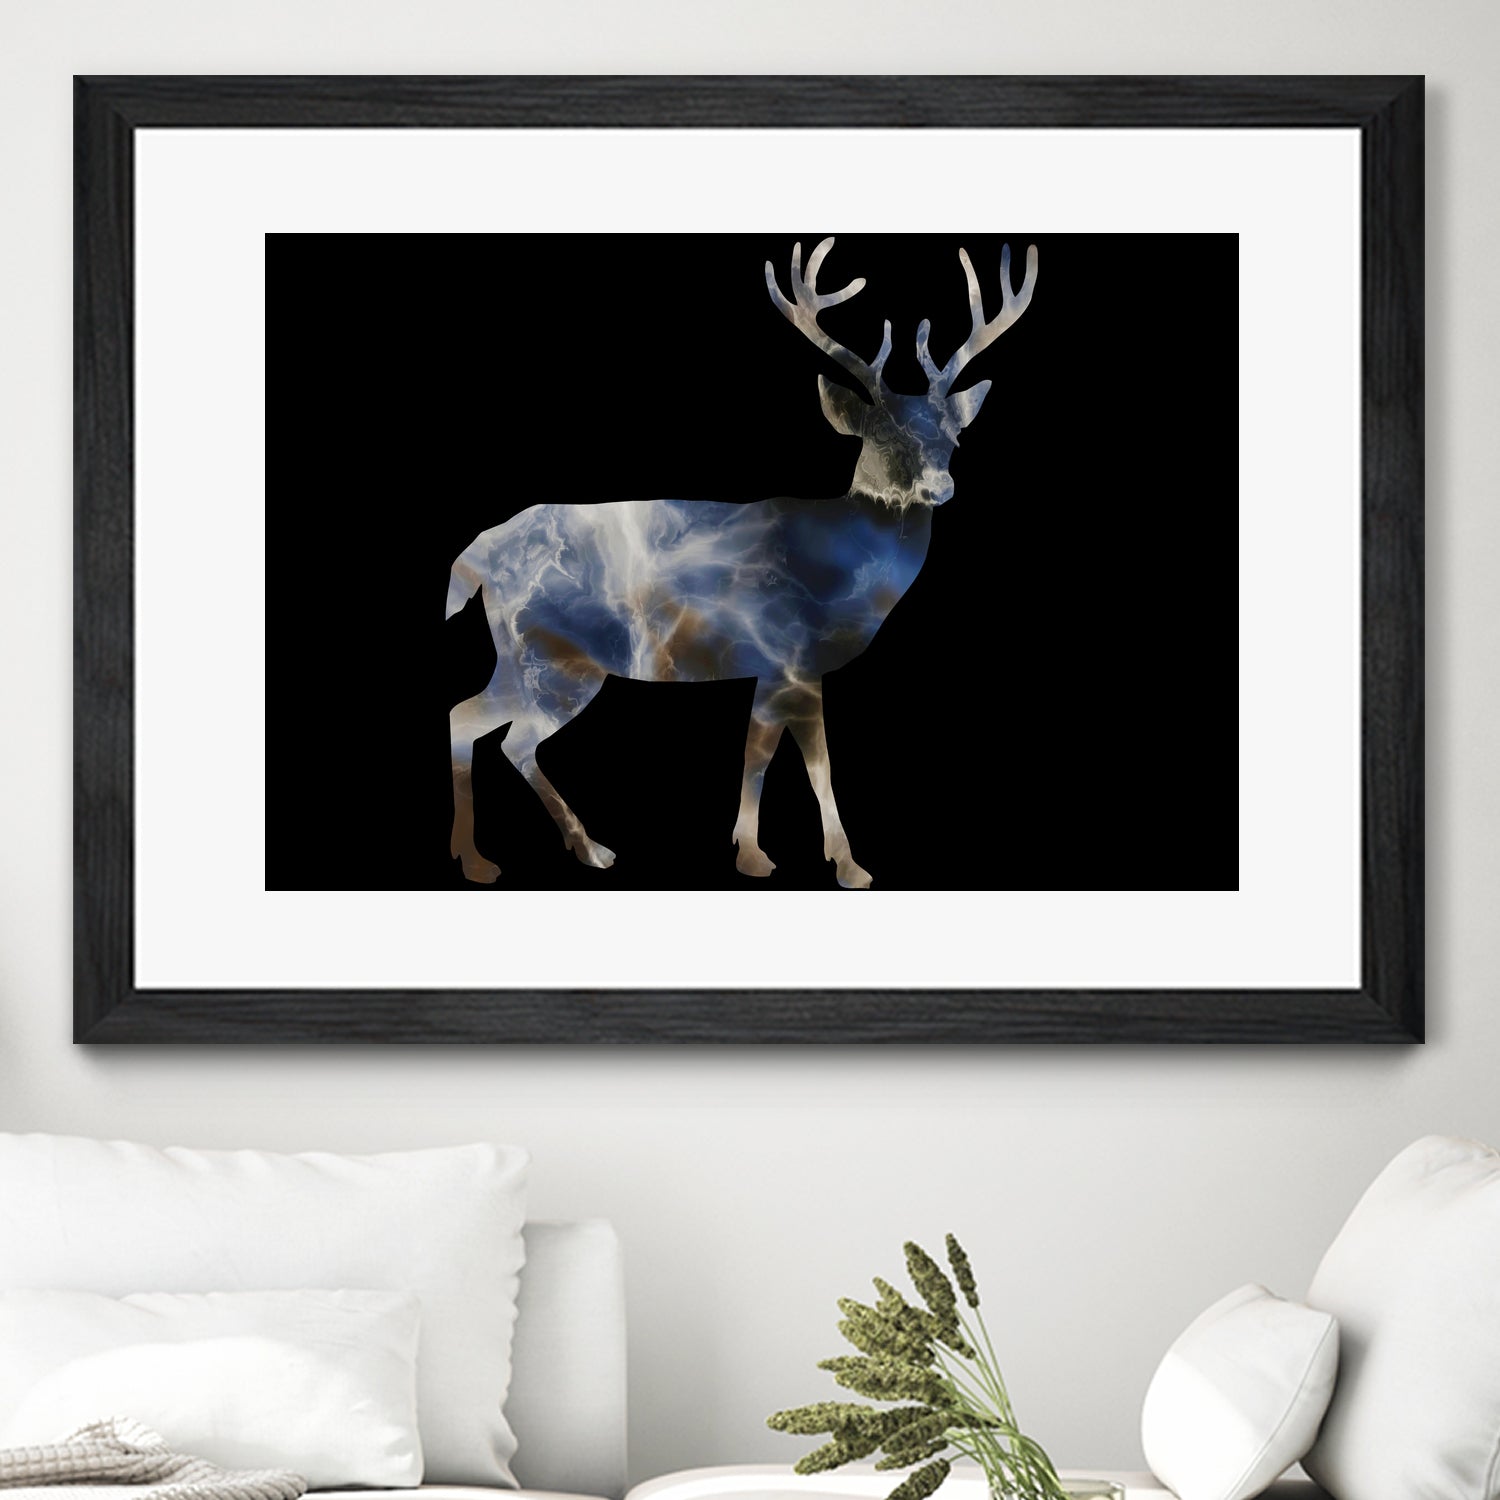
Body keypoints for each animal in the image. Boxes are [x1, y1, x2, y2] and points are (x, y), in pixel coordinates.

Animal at [446, 237, 1038, 889]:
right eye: (881, 436)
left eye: (953, 438)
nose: (941, 486)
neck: (841, 569)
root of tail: (479, 554)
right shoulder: (793, 657)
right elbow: (810, 764)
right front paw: (842, 864)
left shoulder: (772, 668)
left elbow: (759, 755)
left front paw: (753, 851)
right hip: (553, 657)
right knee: (502, 734)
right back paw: (516, 856)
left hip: (523, 655)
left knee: (475, 721)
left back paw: (550, 849)